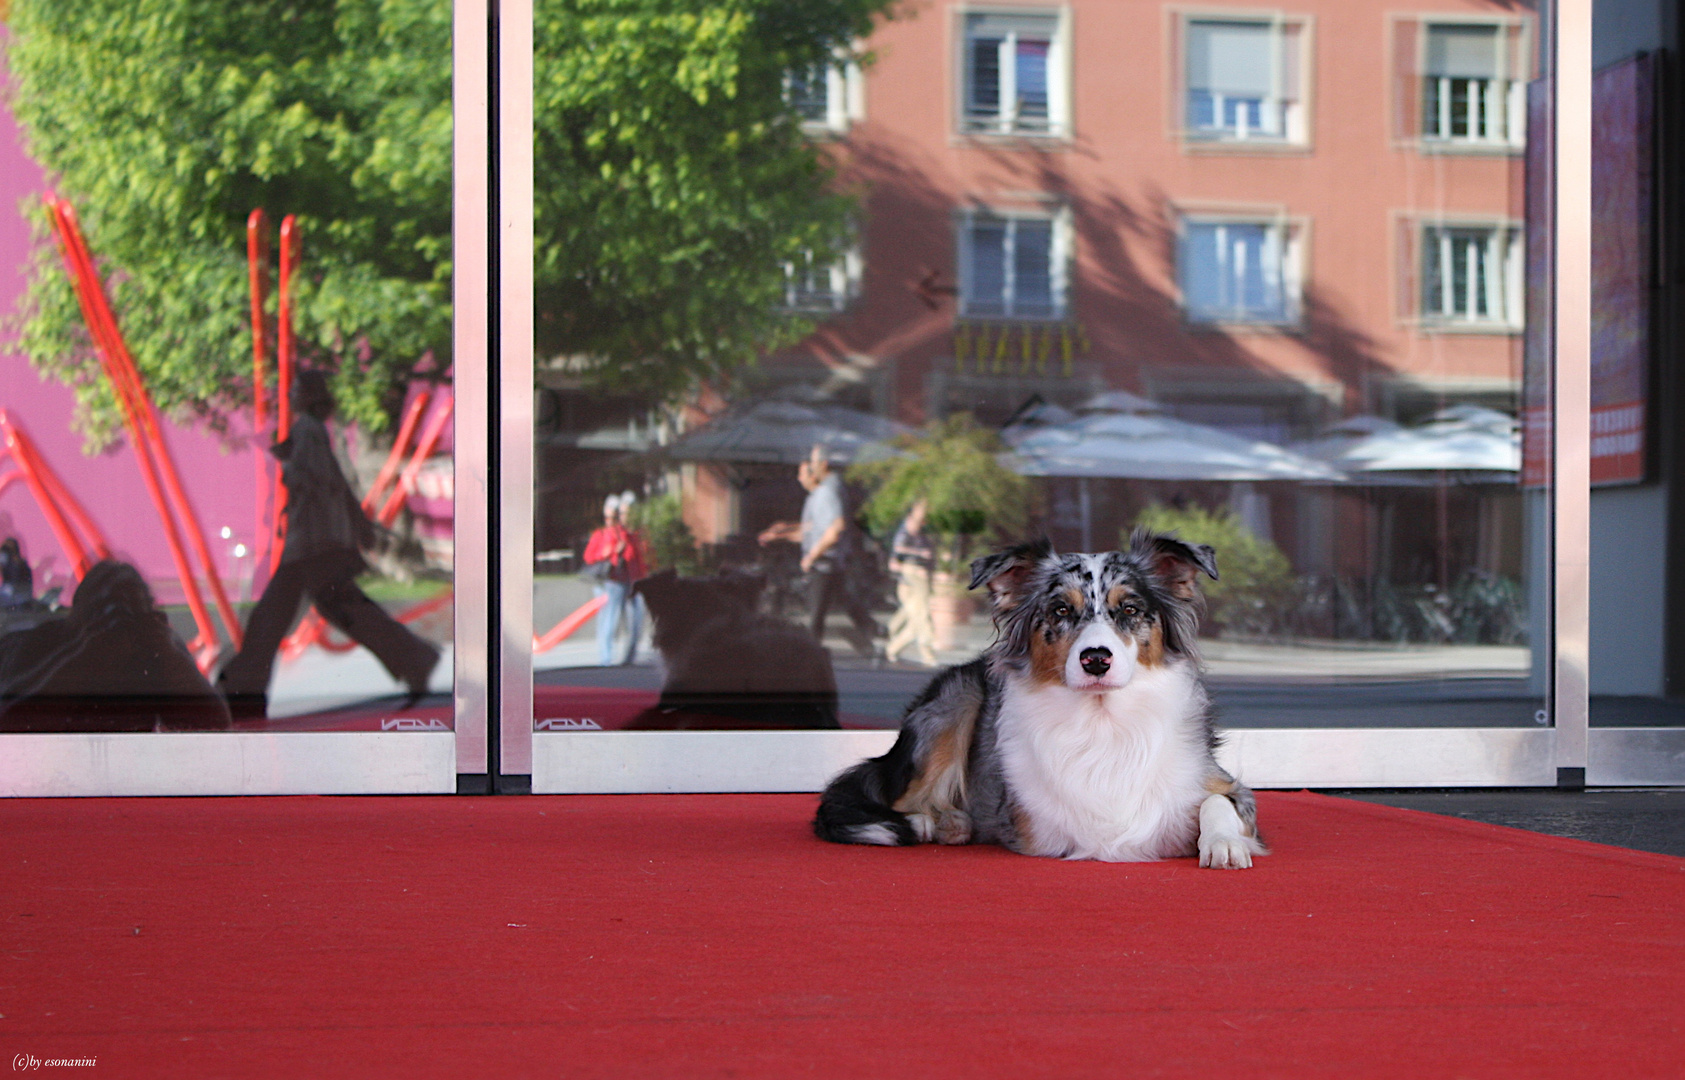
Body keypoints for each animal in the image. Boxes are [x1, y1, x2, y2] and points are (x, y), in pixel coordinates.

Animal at [812, 532, 1267, 869]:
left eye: (1130, 609)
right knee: (900, 799)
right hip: (955, 699)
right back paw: (936, 821)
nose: (1096, 659)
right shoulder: (1032, 826)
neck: (1103, 718)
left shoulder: (1223, 784)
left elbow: (1217, 801)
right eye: (1061, 610)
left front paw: (1223, 842)